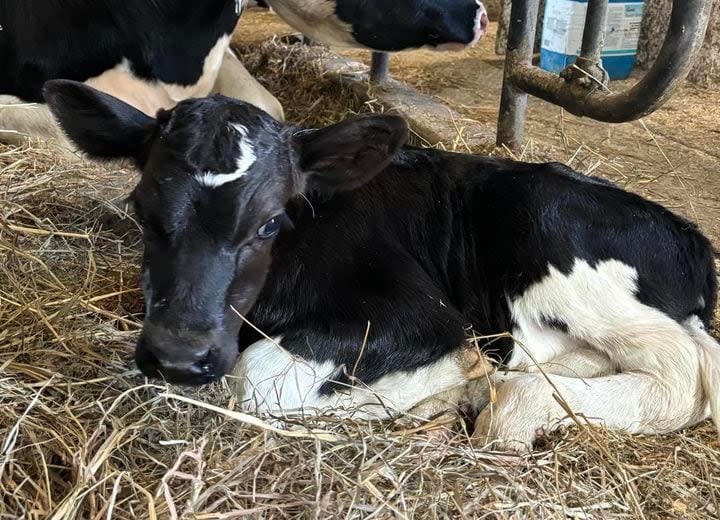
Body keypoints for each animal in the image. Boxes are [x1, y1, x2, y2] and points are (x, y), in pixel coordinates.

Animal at [45, 82, 720, 450]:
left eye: (269, 222)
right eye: (141, 209)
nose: (179, 357)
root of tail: (691, 238)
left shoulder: (422, 315)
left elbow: (253, 376)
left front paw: (444, 381)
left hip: (553, 232)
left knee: (681, 371)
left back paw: (513, 406)